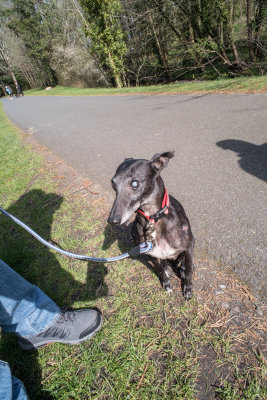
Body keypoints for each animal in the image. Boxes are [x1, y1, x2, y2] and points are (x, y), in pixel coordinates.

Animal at [108, 152, 195, 298]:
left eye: (135, 183)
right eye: (113, 184)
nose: (112, 221)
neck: (153, 221)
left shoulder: (188, 247)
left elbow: (188, 270)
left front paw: (188, 288)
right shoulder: (149, 253)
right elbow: (159, 269)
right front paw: (166, 284)